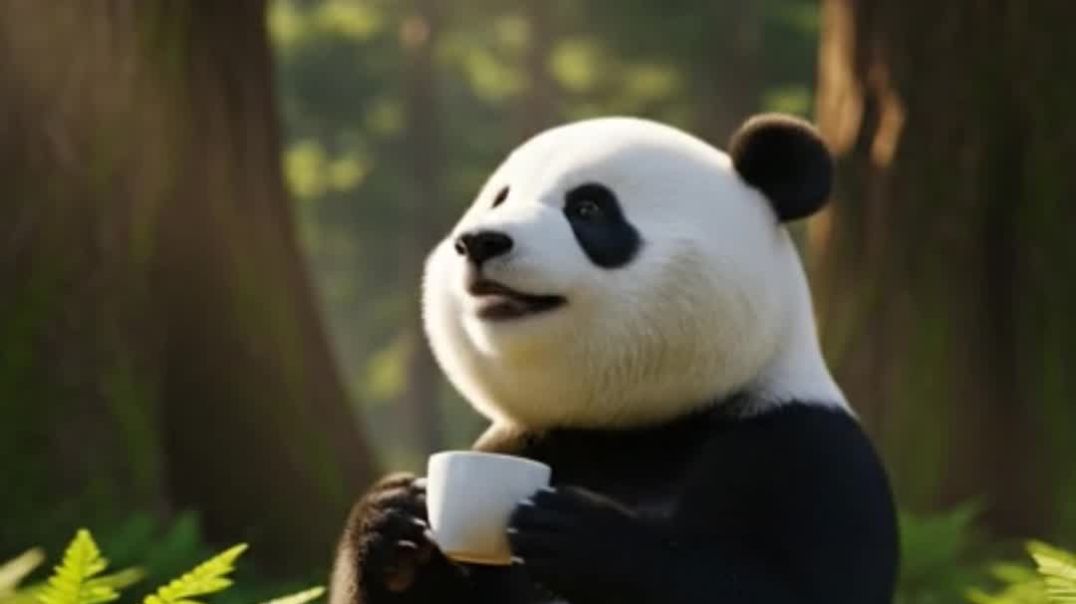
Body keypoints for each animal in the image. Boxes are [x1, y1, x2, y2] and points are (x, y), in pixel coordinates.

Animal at [330, 113, 899, 604]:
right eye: (499, 198)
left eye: (588, 208)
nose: (480, 241)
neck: (629, 426)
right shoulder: (523, 438)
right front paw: (390, 519)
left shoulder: (804, 445)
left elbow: (804, 586)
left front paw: (582, 535)